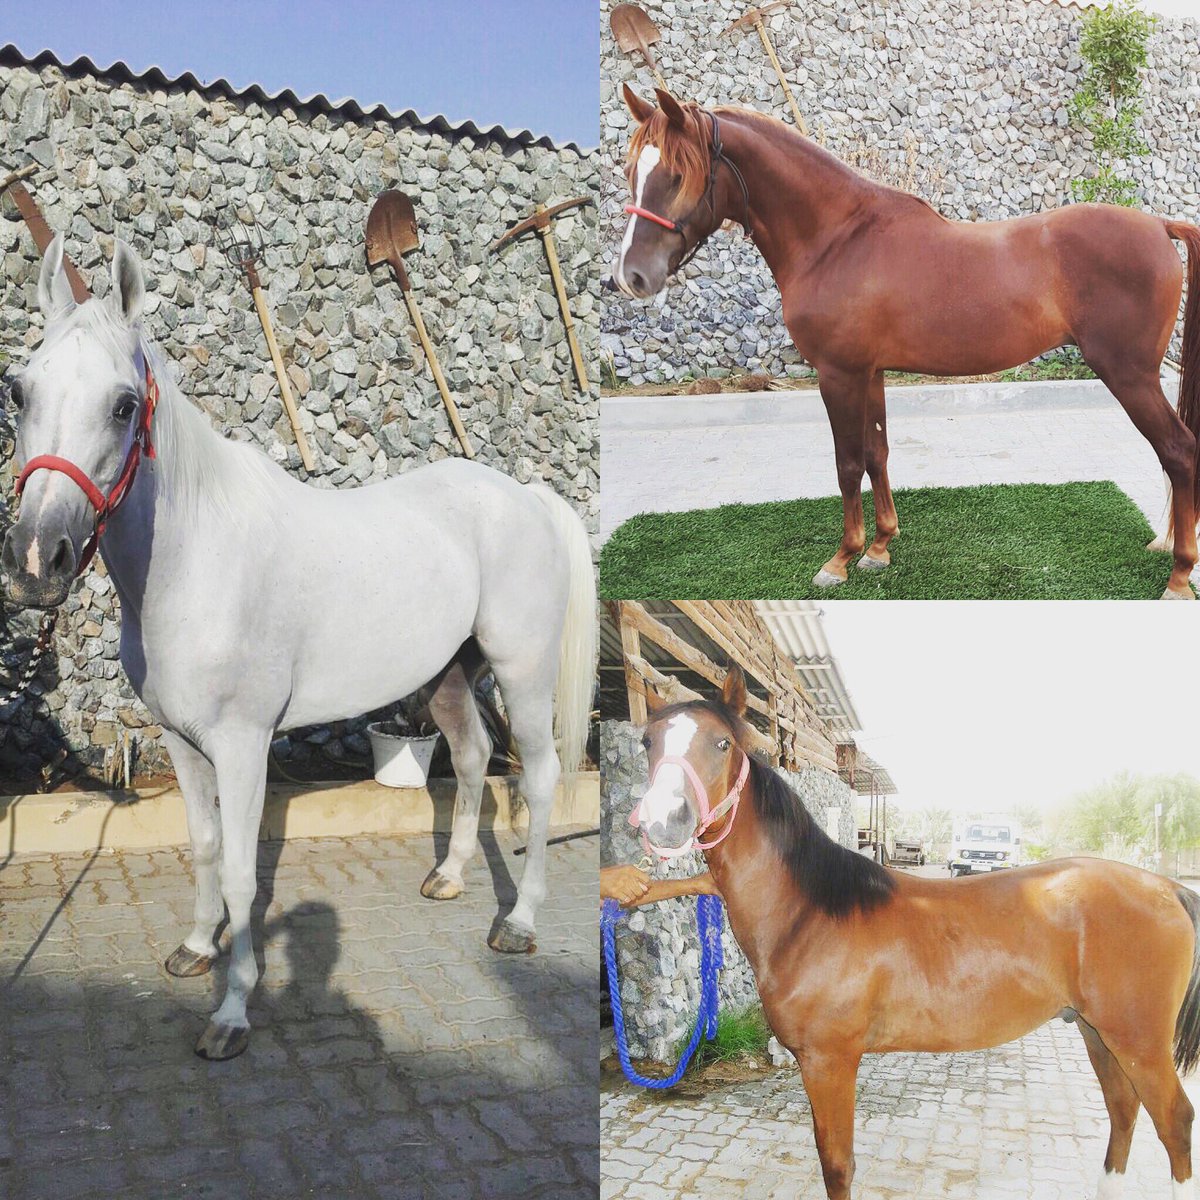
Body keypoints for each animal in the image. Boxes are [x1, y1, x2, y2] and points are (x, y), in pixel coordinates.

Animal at [1, 235, 597, 1059]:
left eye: (123, 405)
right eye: (19, 391)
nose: (36, 561)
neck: (196, 559)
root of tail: (526, 498)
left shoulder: (243, 744)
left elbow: (243, 876)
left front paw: (231, 1013)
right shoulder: (181, 741)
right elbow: (205, 848)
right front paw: (195, 948)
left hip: (524, 674)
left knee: (537, 779)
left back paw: (518, 922)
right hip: (448, 675)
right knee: (475, 756)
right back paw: (447, 877)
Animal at [613, 86, 1200, 601]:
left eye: (676, 174)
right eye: (631, 172)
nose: (630, 277)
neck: (837, 239)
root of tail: (1158, 225)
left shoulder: (839, 375)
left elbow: (847, 463)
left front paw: (841, 559)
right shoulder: (871, 372)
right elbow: (878, 454)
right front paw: (879, 548)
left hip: (1130, 375)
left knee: (1179, 452)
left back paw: (1178, 576)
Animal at [631, 665, 1200, 1200]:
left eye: (722, 743)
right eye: (648, 742)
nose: (664, 821)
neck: (809, 912)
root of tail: (1168, 888)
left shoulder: (829, 1061)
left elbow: (837, 1166)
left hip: (1139, 1042)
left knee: (1174, 1122)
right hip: (1097, 1033)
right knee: (1123, 1109)